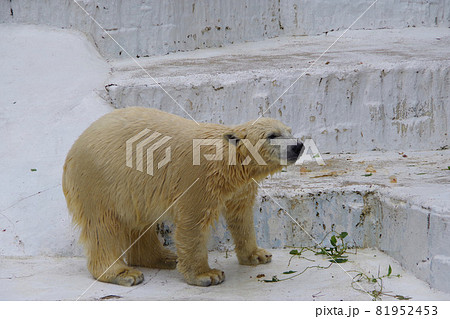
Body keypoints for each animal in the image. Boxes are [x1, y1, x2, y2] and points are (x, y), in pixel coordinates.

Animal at [62, 107, 302, 288]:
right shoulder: (197, 179)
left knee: (138, 223)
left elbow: (241, 215)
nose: (298, 145)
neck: (226, 163)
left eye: (289, 131)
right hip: (100, 180)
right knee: (103, 226)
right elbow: (192, 222)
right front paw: (207, 275)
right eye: (272, 135)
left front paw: (258, 255)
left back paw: (165, 257)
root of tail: (71, 151)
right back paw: (124, 273)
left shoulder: (239, 187)